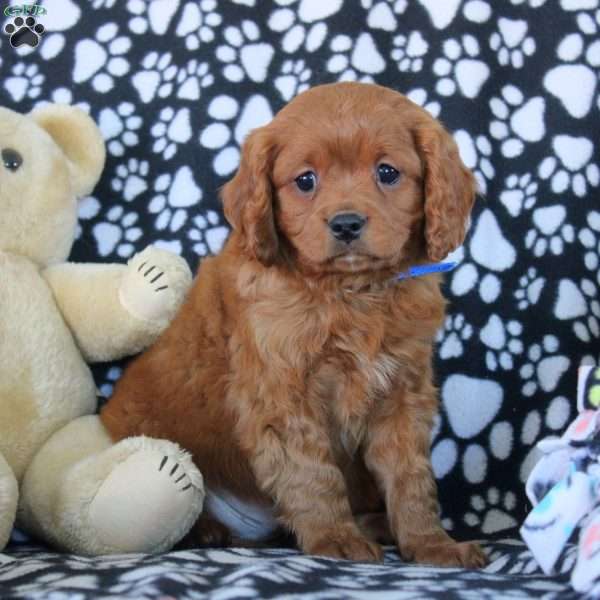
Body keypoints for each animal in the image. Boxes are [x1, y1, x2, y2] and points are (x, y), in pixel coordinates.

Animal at [102, 83, 488, 568]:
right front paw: (335, 538)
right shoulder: (281, 393)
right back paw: (209, 531)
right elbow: (312, 473)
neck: (351, 292)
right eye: (305, 180)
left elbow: (411, 478)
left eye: (387, 172)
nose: (346, 224)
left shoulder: (403, 392)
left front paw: (432, 544)